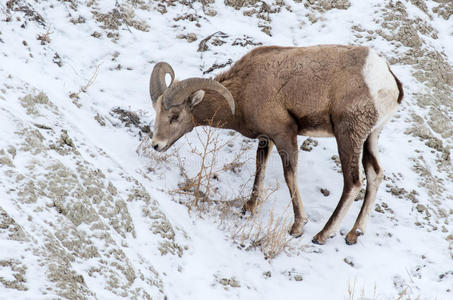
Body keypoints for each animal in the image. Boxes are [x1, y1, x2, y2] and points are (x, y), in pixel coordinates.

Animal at [149, 45, 402, 245]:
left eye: (174, 116)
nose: (156, 145)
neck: (245, 89)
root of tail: (388, 81)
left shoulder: (284, 135)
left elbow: (289, 175)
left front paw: (297, 227)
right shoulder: (266, 138)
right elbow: (259, 166)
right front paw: (250, 207)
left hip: (348, 136)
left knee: (353, 183)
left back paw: (322, 235)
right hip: (370, 136)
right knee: (375, 174)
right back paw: (353, 234)